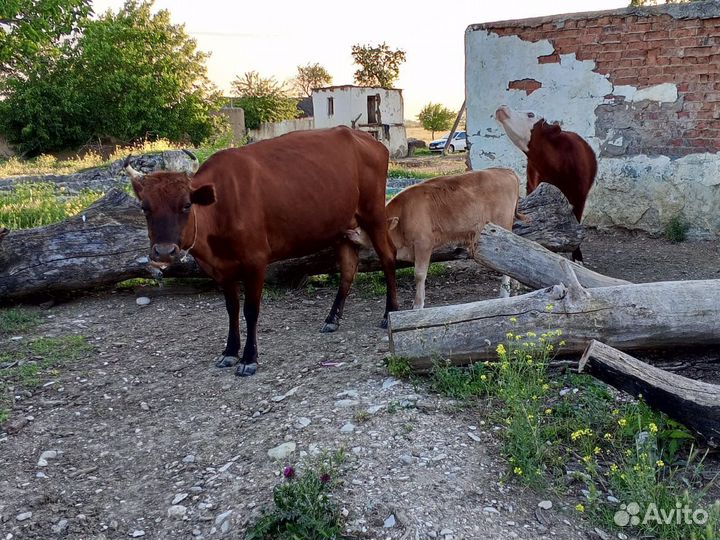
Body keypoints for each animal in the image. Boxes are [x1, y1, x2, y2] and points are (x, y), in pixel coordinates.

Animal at [125, 126, 398, 377]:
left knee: (388, 257)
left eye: (185, 205)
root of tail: (364, 138)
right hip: (342, 226)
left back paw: (389, 312)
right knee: (348, 269)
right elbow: (232, 309)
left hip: (374, 213)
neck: (221, 206)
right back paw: (332, 319)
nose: (164, 252)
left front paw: (249, 358)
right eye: (144, 207)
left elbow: (250, 310)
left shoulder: (255, 261)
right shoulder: (220, 269)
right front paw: (229, 352)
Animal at [346, 168, 521, 309]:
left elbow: (419, 274)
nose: (349, 231)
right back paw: (516, 285)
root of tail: (505, 171)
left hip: (502, 225)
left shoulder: (423, 243)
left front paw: (418, 304)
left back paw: (504, 293)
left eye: (368, 227)